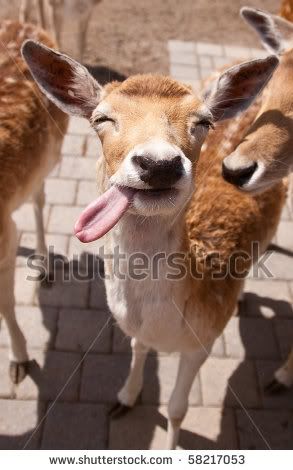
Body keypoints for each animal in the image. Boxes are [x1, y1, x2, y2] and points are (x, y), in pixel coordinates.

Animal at [22, 38, 286, 450]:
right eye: (101, 119)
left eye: (203, 122)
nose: (159, 164)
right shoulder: (135, 328)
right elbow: (137, 349)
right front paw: (124, 398)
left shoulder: (204, 341)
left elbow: (176, 410)